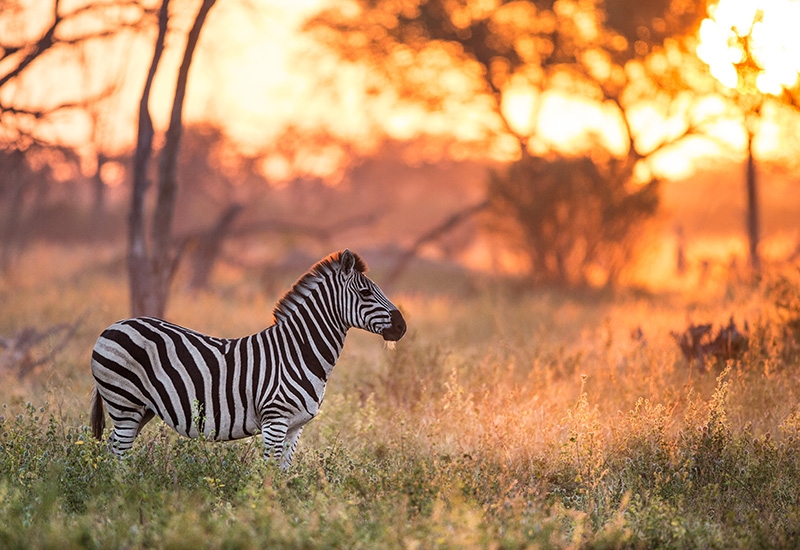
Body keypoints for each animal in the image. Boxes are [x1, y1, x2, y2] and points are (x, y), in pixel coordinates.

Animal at [90, 250, 406, 470]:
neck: (298, 352)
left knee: (110, 450)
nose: (402, 327)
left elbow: (283, 473)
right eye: (365, 292)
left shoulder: (296, 427)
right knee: (117, 455)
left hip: (141, 408)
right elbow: (268, 472)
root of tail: (112, 326)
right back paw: (120, 495)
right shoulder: (275, 419)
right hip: (124, 402)